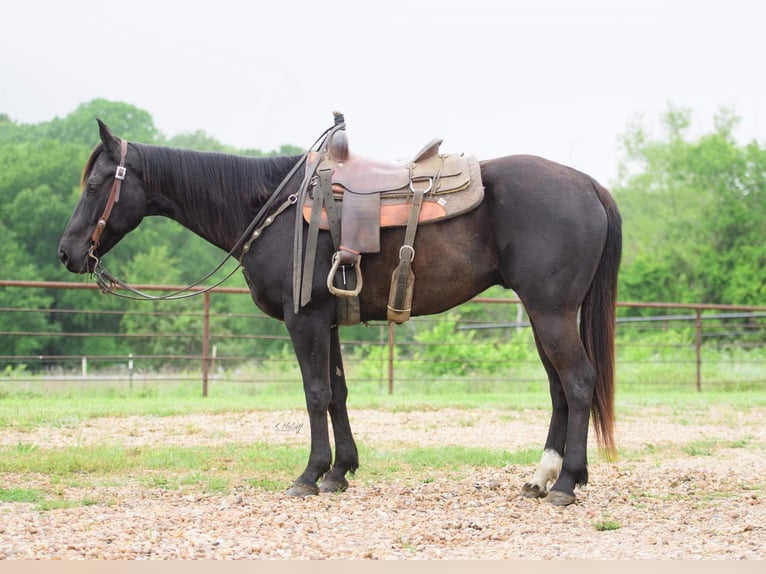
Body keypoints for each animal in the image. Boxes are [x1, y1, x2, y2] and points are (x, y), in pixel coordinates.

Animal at [61, 119, 624, 506]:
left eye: (95, 185)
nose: (67, 253)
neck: (273, 207)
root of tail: (589, 185)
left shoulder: (304, 319)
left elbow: (314, 394)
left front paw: (309, 475)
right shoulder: (327, 321)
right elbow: (337, 393)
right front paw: (339, 472)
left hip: (551, 312)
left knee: (577, 383)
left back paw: (567, 483)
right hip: (543, 315)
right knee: (558, 389)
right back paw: (542, 477)